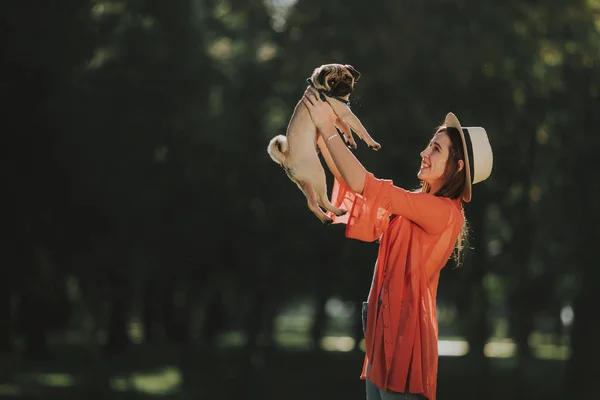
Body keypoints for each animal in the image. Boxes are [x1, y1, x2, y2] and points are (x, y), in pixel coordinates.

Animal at [268, 64, 380, 223]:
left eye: (348, 78)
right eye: (332, 81)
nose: (342, 85)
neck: (322, 89)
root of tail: (286, 158)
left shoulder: (336, 117)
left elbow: (344, 127)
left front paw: (349, 140)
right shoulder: (345, 113)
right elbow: (359, 128)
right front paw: (372, 143)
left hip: (304, 184)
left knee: (313, 202)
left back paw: (326, 218)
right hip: (318, 174)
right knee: (321, 199)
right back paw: (336, 211)